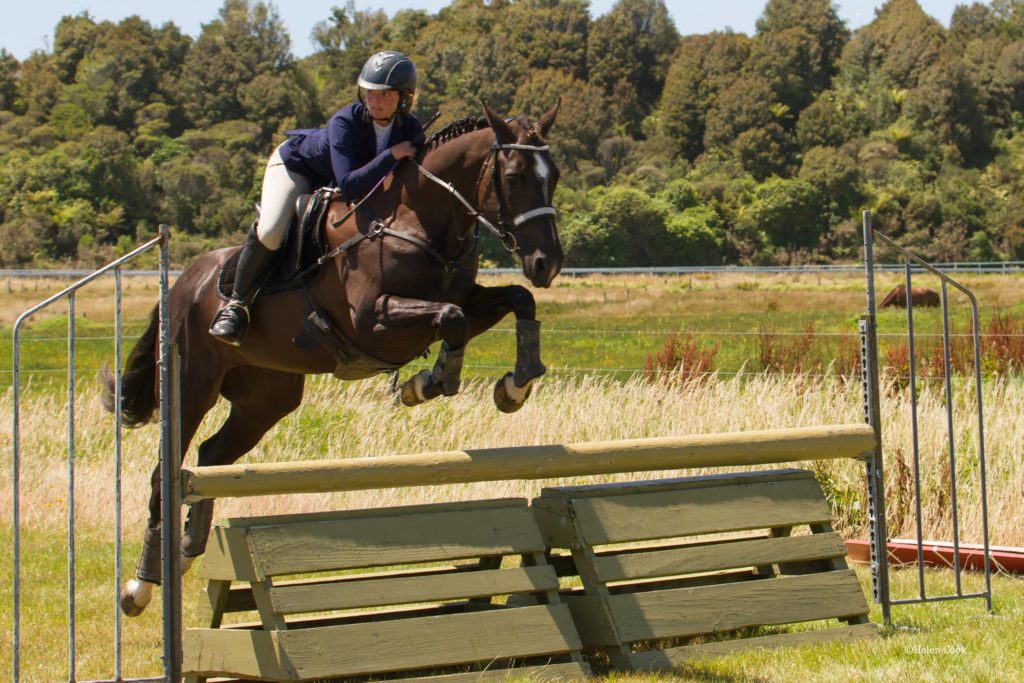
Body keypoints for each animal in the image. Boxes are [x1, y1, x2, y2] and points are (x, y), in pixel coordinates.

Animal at [107, 101, 563, 616]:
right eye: (515, 176)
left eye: (554, 176)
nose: (548, 262)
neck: (418, 219)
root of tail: (182, 284)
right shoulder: (372, 321)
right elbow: (452, 318)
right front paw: (428, 382)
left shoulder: (465, 297)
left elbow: (514, 300)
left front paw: (514, 386)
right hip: (190, 385)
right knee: (166, 472)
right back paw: (140, 586)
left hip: (267, 398)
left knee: (210, 457)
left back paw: (187, 549)